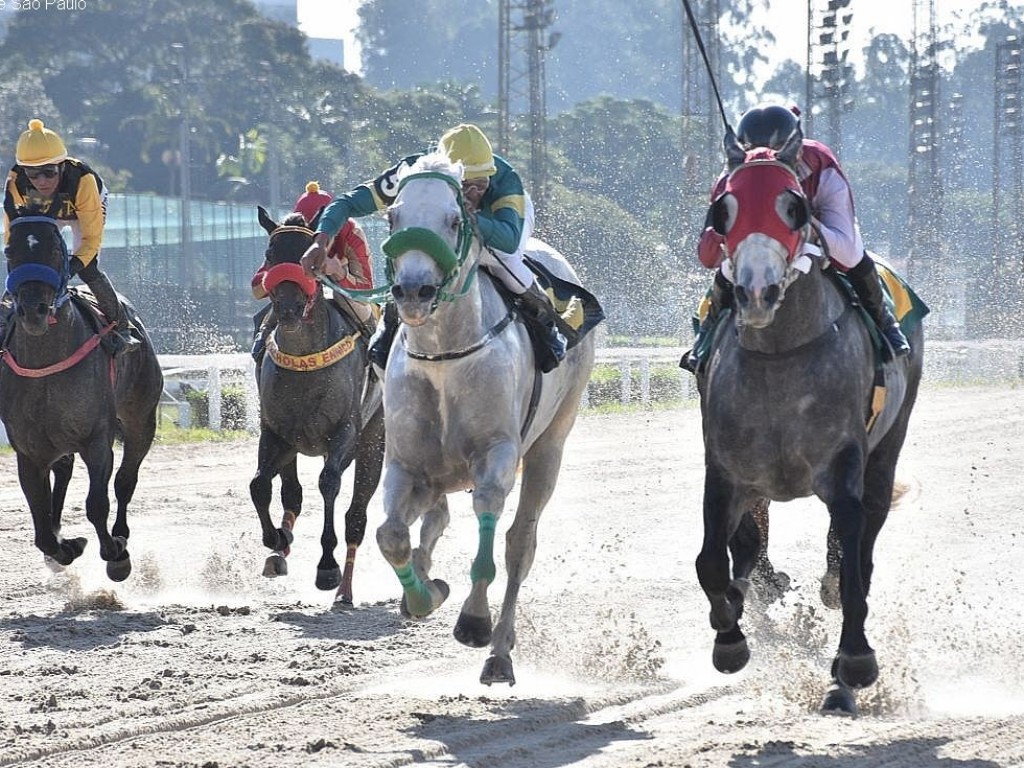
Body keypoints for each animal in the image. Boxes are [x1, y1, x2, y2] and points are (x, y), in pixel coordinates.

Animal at [0, 217, 162, 581]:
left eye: (54, 249)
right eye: (10, 250)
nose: (34, 311)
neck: (46, 364)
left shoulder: (97, 439)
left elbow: (97, 504)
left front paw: (116, 555)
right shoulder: (29, 452)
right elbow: (41, 528)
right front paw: (65, 547)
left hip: (141, 418)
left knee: (125, 480)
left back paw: (120, 534)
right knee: (63, 472)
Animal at [249, 207, 385, 610]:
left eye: (307, 259)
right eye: (270, 254)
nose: (288, 309)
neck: (305, 362)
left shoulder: (346, 433)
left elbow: (328, 482)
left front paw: (327, 566)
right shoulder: (276, 432)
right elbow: (259, 485)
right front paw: (275, 539)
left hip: (374, 439)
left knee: (356, 515)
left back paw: (345, 590)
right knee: (290, 493)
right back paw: (280, 551)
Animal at [374, 150, 598, 684]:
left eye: (455, 220)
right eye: (393, 219)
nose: (413, 291)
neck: (444, 358)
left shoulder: (496, 455)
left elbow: (489, 534)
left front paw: (474, 620)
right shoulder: (405, 463)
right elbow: (391, 535)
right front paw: (424, 595)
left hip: (551, 445)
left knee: (520, 544)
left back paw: (499, 651)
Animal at [696, 131, 929, 716]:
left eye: (794, 206)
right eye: (723, 210)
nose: (756, 292)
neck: (781, 355)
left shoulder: (841, 468)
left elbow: (852, 572)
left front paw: (854, 663)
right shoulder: (728, 472)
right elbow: (711, 562)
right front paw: (729, 639)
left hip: (886, 449)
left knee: (862, 546)